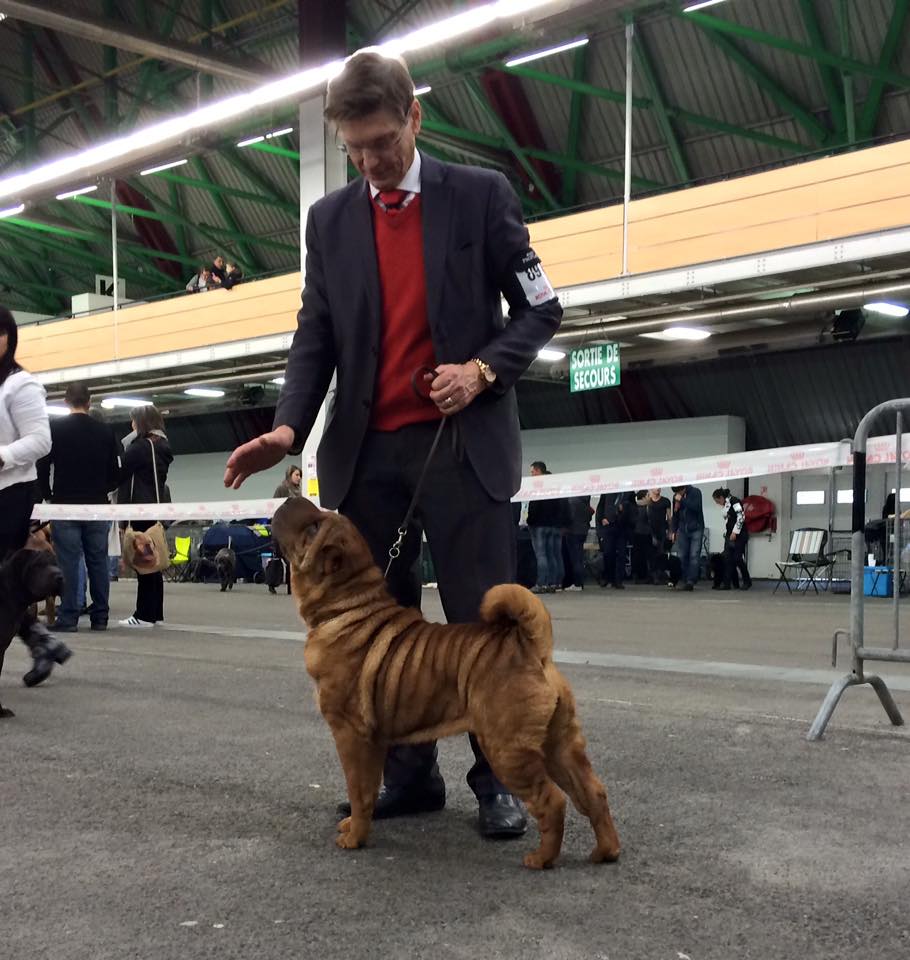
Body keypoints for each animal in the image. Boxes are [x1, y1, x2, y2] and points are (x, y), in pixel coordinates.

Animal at [274, 496, 624, 872]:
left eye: (313, 527)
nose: (291, 498)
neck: (346, 605)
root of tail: (532, 647)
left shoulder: (350, 735)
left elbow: (359, 789)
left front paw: (354, 838)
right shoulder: (374, 739)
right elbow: (367, 788)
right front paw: (355, 823)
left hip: (507, 748)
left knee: (553, 801)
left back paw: (541, 858)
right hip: (560, 743)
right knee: (593, 792)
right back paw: (606, 851)